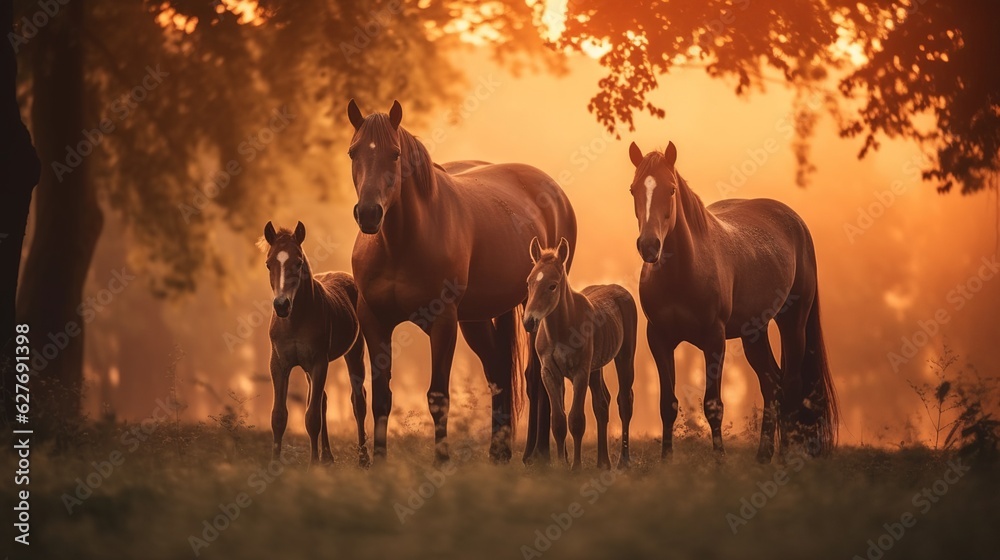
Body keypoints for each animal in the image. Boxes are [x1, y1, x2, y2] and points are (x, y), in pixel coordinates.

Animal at [260, 221, 369, 466]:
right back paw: (327, 456)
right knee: (324, 401)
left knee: (358, 401)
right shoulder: (278, 364)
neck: (295, 320)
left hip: (354, 352)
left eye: (298, 262)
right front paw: (273, 464)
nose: (281, 305)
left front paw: (312, 465)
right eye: (269, 264)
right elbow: (279, 416)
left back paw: (363, 458)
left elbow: (311, 417)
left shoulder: (319, 362)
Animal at [346, 99, 577, 464]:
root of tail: (553, 190)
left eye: (395, 154)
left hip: (534, 309)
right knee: (498, 371)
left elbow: (438, 396)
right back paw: (499, 452)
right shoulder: (374, 321)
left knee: (537, 379)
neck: (399, 244)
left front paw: (441, 460)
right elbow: (381, 396)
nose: (369, 214)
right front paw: (380, 462)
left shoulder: (443, 322)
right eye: (353, 152)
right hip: (477, 318)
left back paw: (535, 453)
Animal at [523, 237, 637, 470]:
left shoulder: (580, 373)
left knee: (624, 401)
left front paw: (576, 467)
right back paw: (603, 463)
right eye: (529, 282)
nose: (529, 322)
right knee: (602, 404)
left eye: (552, 285)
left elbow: (576, 420)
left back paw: (623, 461)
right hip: (596, 367)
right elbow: (558, 421)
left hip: (625, 357)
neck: (561, 331)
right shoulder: (549, 373)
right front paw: (561, 466)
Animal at [626, 140, 838, 463]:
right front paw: (666, 461)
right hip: (755, 333)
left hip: (793, 323)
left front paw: (719, 462)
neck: (684, 271)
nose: (649, 246)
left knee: (790, 385)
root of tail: (795, 221)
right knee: (772, 386)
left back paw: (784, 456)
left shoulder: (714, 340)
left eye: (671, 189)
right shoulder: (658, 338)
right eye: (634, 189)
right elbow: (667, 404)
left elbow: (713, 404)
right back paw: (763, 455)